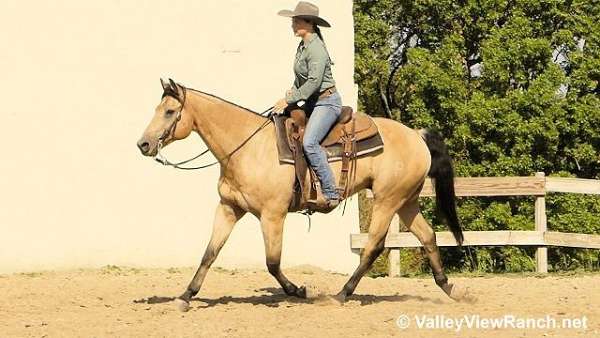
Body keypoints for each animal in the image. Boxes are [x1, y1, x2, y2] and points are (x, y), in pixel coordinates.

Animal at [138, 79, 472, 312]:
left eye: (170, 111)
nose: (143, 144)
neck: (247, 147)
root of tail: (416, 135)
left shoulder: (272, 215)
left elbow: (272, 262)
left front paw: (298, 290)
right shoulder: (229, 208)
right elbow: (209, 253)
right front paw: (185, 296)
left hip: (387, 201)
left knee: (373, 247)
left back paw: (341, 294)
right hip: (406, 202)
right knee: (428, 236)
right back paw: (450, 288)